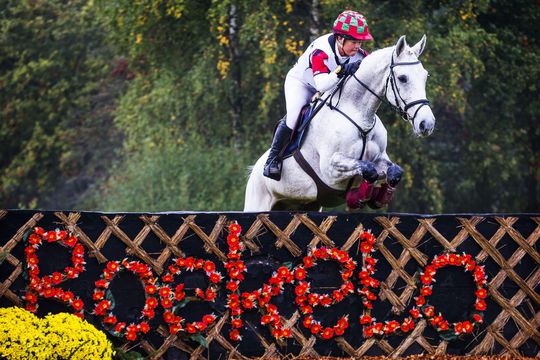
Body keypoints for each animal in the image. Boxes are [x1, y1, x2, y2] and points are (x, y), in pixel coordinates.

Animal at [247, 34, 436, 211]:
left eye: (425, 76)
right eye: (403, 78)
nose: (427, 124)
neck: (359, 115)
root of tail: (254, 170)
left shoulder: (380, 158)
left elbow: (394, 171)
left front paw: (379, 197)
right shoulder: (330, 170)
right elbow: (368, 169)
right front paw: (360, 197)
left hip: (305, 204)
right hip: (258, 202)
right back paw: (271, 165)